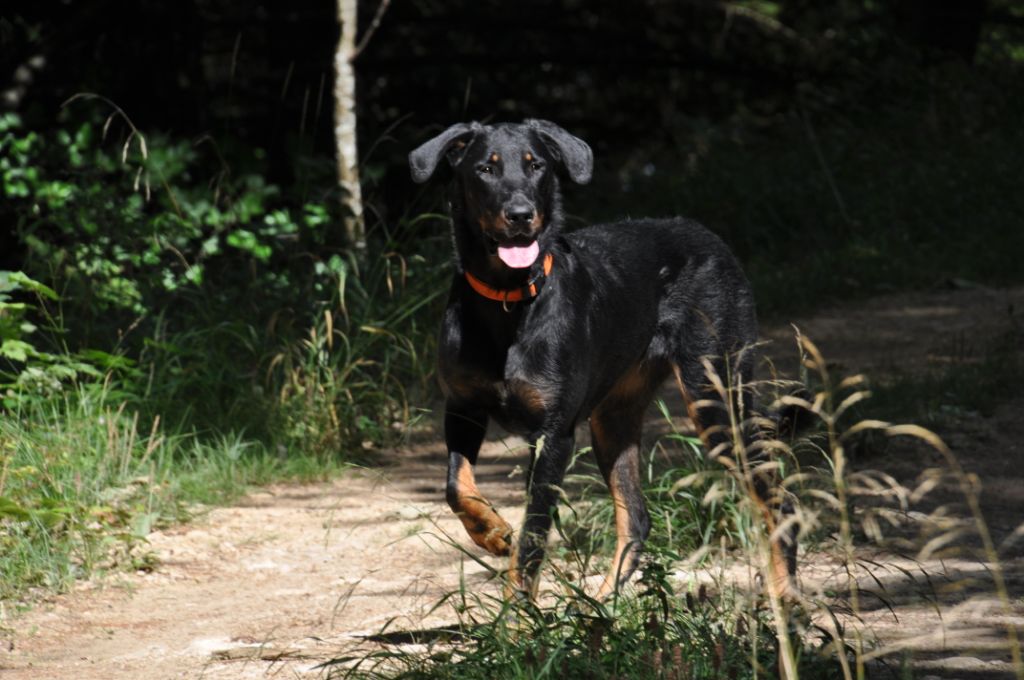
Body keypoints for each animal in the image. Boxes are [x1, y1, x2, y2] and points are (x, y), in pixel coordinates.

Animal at [407, 119, 790, 598]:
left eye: (536, 165)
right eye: (485, 169)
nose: (520, 214)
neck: (507, 301)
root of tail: (711, 237)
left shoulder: (553, 434)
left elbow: (533, 537)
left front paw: (517, 614)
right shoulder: (462, 406)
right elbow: (455, 485)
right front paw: (490, 531)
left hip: (717, 394)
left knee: (775, 496)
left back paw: (786, 597)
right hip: (613, 417)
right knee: (637, 517)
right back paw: (601, 604)